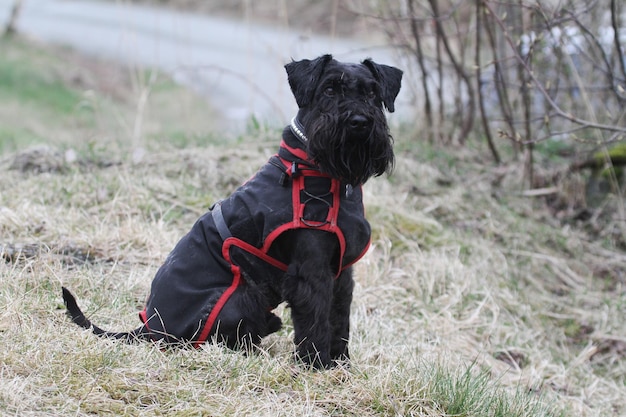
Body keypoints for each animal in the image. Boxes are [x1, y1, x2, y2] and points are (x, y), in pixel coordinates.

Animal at [62, 54, 400, 368]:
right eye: (329, 89)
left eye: (372, 93)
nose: (359, 121)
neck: (327, 175)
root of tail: (149, 328)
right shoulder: (311, 272)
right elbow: (316, 320)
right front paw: (316, 365)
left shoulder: (341, 274)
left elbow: (339, 320)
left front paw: (341, 364)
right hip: (239, 297)